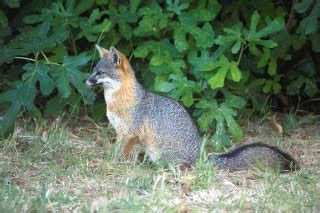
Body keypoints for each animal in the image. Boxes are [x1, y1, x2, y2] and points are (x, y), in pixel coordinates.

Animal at [84, 45, 298, 172]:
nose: (85, 80)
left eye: (100, 73)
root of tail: (199, 155)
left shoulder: (130, 133)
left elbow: (119, 153)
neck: (118, 101)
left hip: (160, 153)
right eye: (93, 71)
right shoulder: (122, 133)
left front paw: (110, 165)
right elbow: (119, 151)